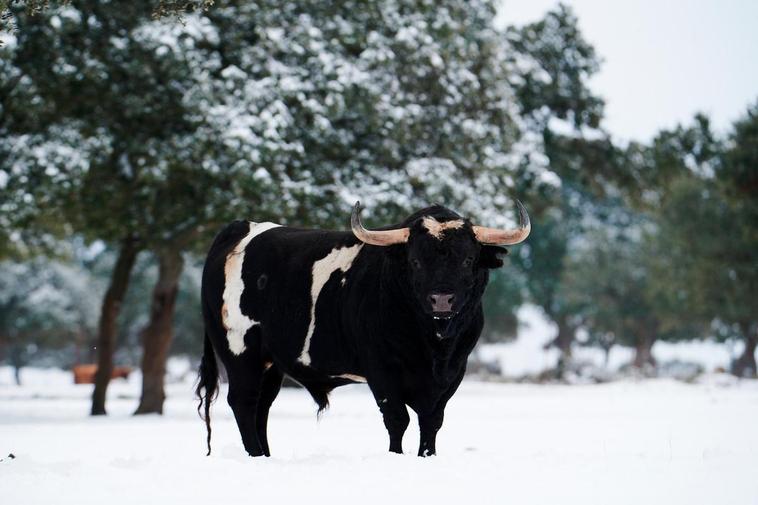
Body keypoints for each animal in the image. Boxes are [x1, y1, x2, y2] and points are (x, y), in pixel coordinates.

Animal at [196, 202, 532, 456]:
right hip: (240, 352)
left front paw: (427, 456)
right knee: (244, 402)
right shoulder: (381, 370)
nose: (441, 299)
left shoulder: (453, 373)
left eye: (467, 259)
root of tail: (240, 229)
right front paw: (396, 456)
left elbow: (431, 421)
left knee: (261, 408)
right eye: (415, 261)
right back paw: (255, 455)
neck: (434, 345)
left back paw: (265, 456)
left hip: (270, 363)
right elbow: (397, 419)